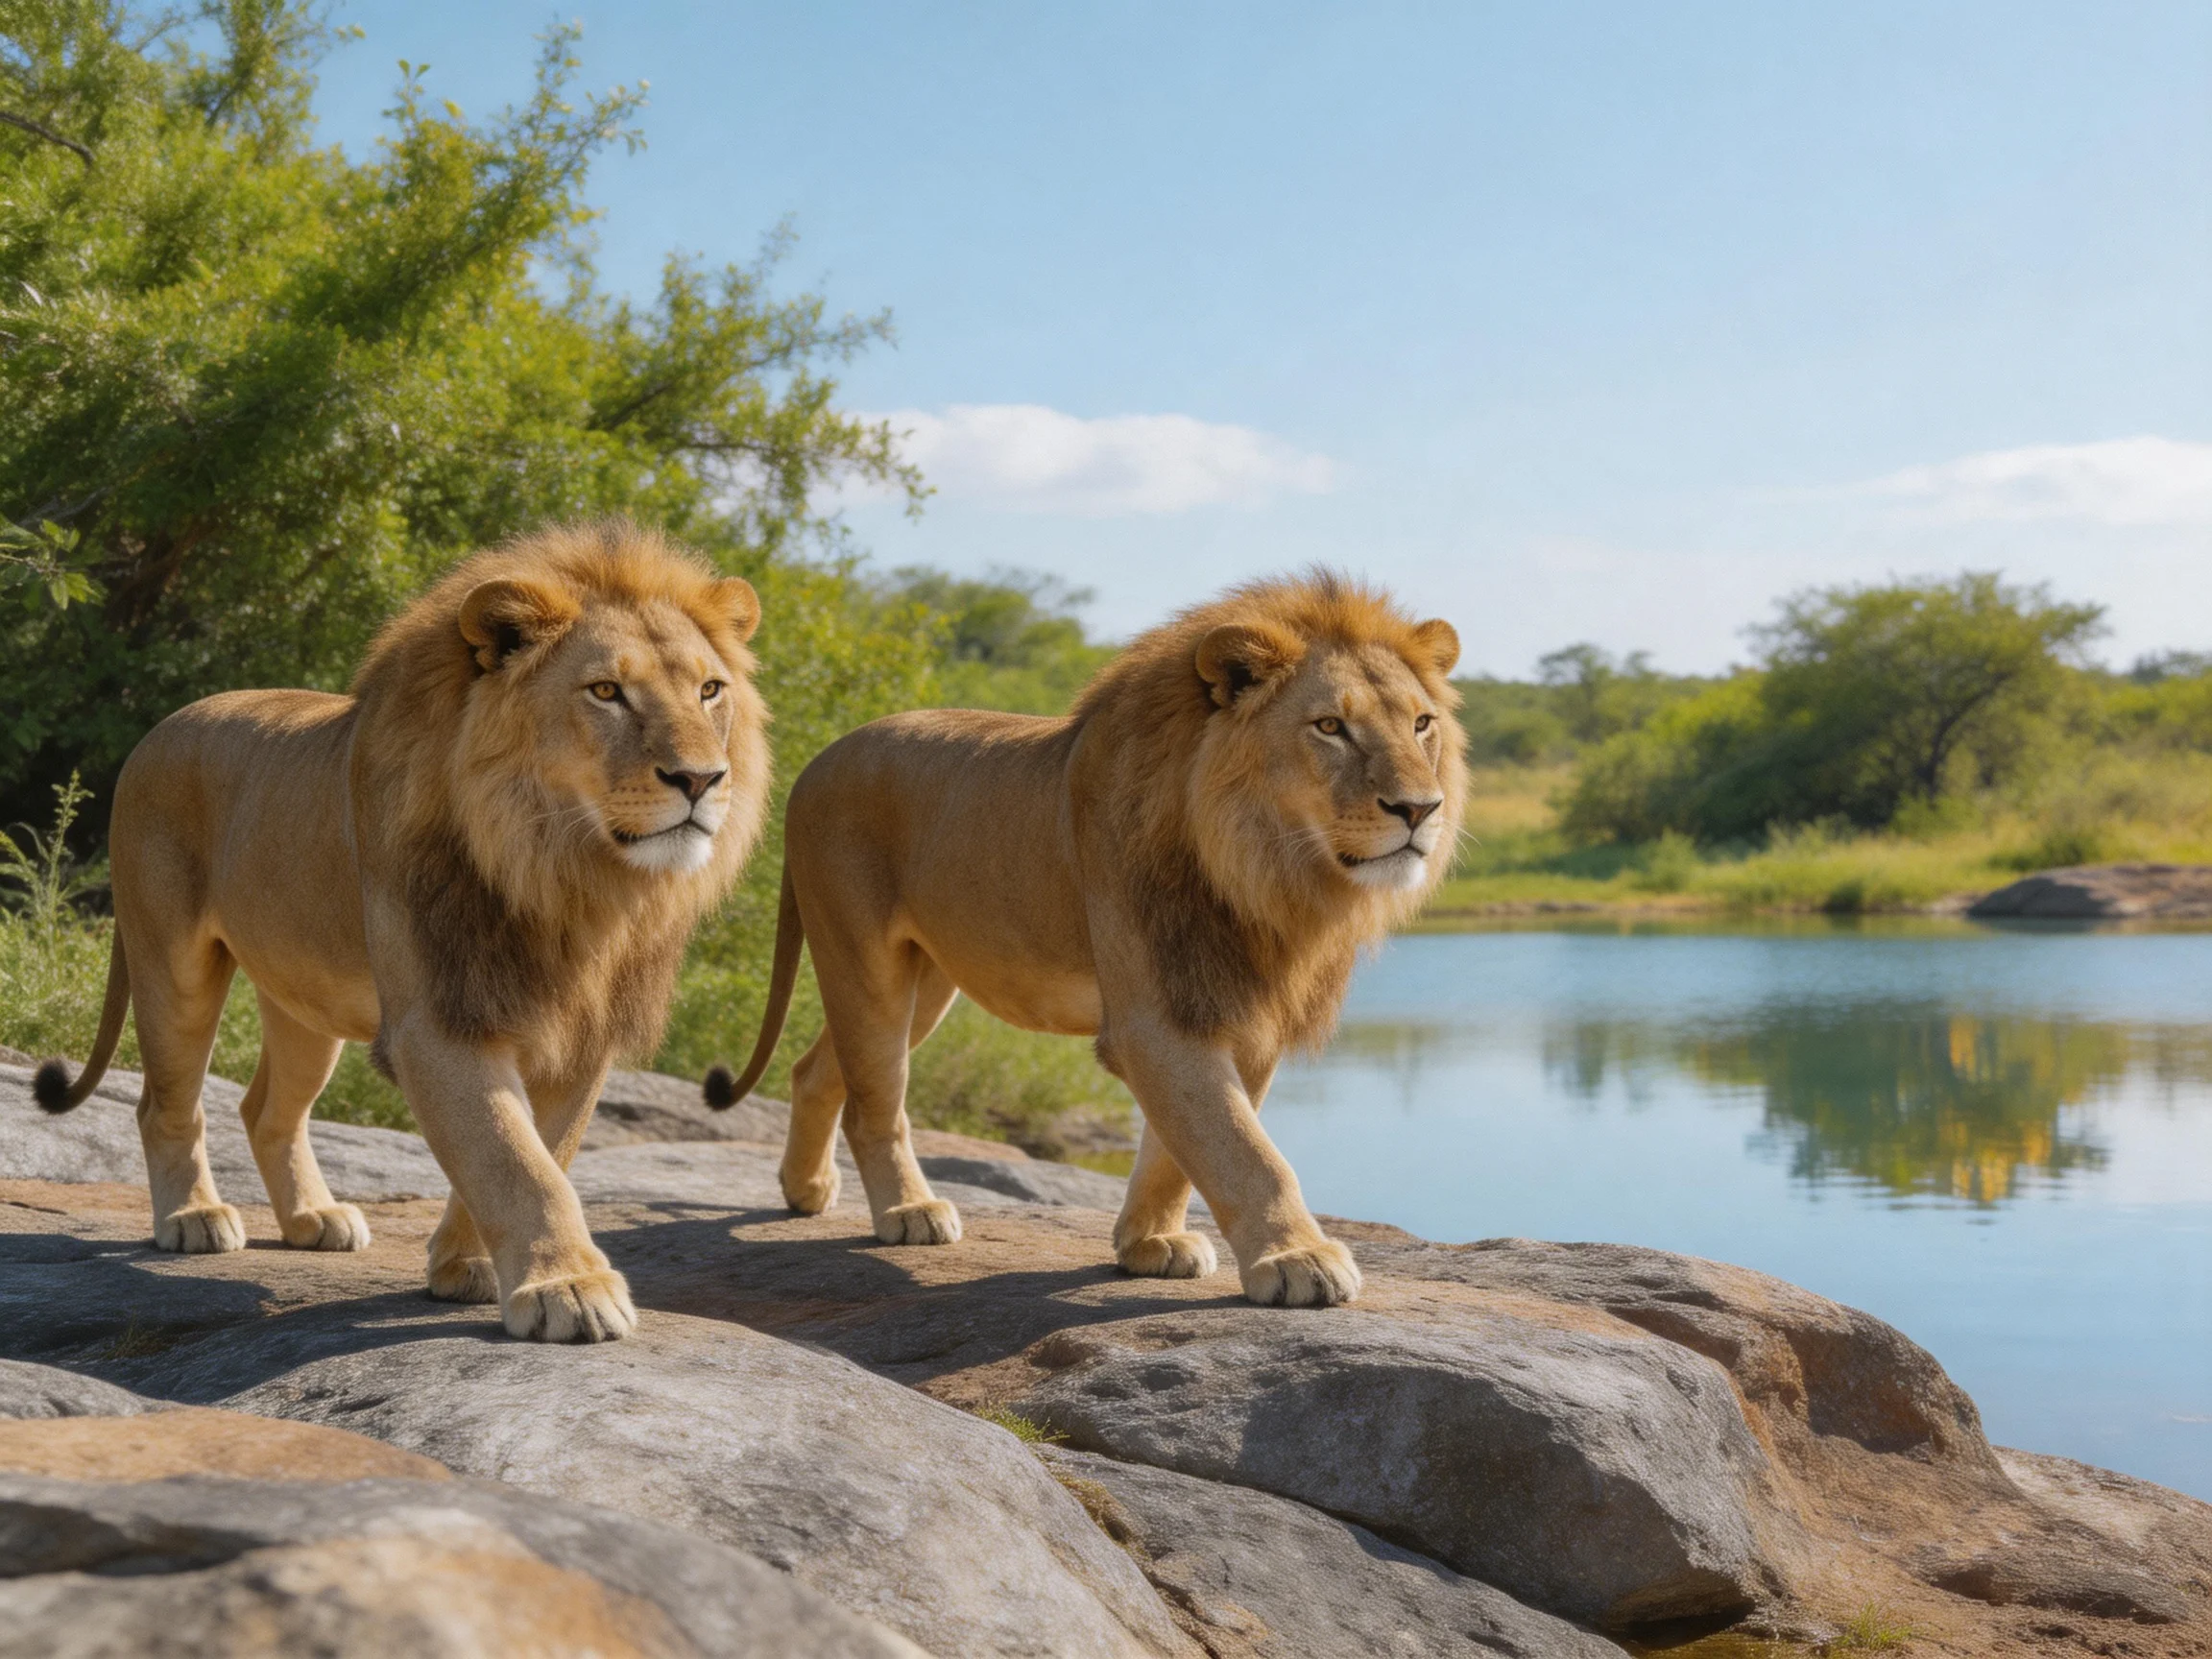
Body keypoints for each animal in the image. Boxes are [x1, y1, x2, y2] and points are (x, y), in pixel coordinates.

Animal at [33, 521, 769, 1342]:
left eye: (710, 691)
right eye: (606, 692)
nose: (702, 780)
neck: (564, 875)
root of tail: (156, 731)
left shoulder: (582, 1032)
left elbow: (539, 1149)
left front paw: (466, 1268)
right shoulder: (437, 1019)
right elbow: (512, 1158)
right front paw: (568, 1288)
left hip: (305, 1001)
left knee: (266, 1110)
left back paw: (313, 1219)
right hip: (173, 964)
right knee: (167, 1103)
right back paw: (193, 1218)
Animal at [704, 570, 1463, 1307]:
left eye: (1421, 724)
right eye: (1330, 726)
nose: (1420, 809)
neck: (1266, 873)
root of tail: (813, 764)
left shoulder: (1237, 1011)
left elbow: (1181, 1150)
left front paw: (1149, 1244)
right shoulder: (1157, 1017)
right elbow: (1243, 1149)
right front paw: (1297, 1257)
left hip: (926, 984)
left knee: (817, 1071)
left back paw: (805, 1191)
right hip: (865, 964)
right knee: (875, 1105)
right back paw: (907, 1212)